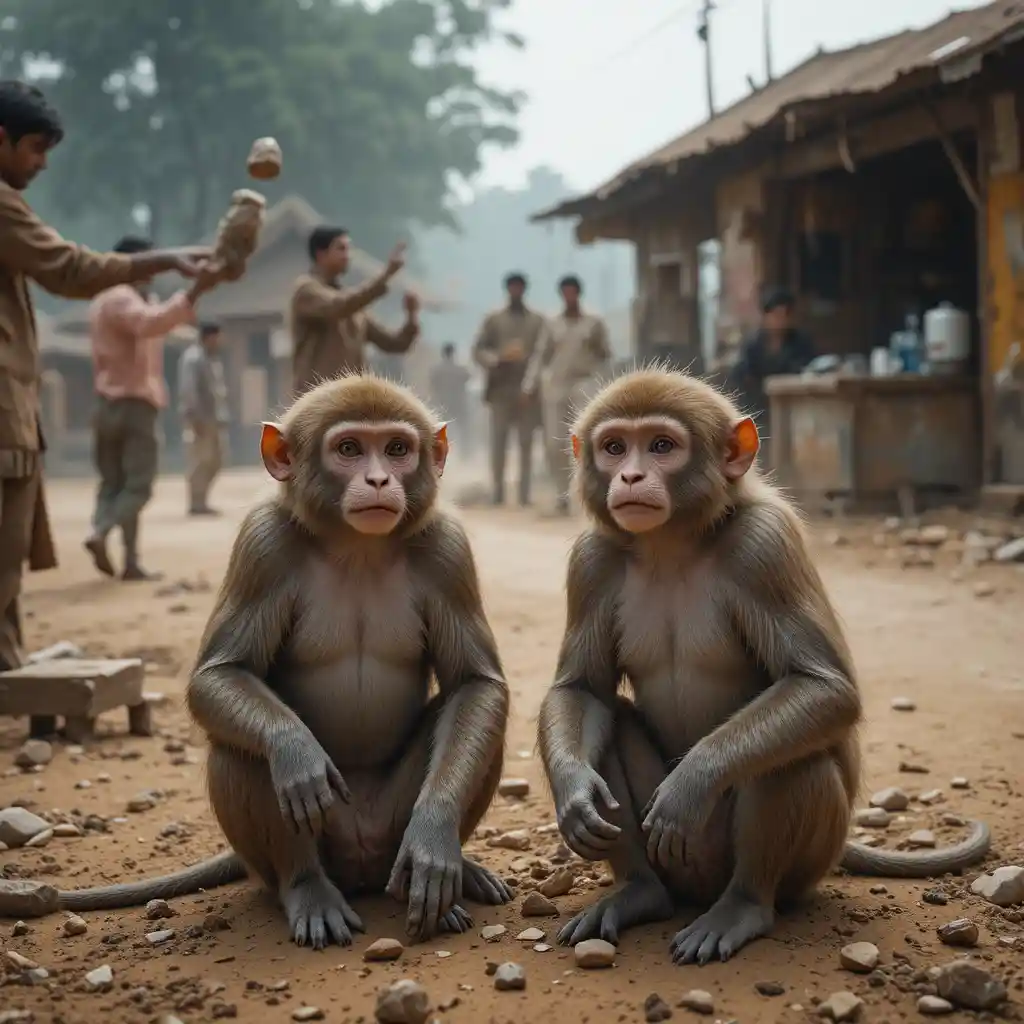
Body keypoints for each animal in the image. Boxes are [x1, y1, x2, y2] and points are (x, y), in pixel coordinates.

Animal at [16, 375, 513, 947]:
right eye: (349, 449)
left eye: (396, 448)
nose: (379, 478)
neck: (358, 547)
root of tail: (365, 864)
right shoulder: (263, 543)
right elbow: (222, 677)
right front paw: (295, 752)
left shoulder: (447, 548)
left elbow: (475, 684)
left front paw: (434, 835)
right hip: (318, 843)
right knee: (243, 749)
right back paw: (306, 887)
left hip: (390, 833)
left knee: (475, 723)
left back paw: (455, 874)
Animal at [537, 368, 991, 966]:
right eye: (614, 448)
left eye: (660, 446)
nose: (630, 475)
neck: (671, 545)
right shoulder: (591, 560)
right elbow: (584, 691)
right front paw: (575, 792)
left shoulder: (765, 546)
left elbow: (822, 688)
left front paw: (693, 781)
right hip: (681, 866)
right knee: (613, 721)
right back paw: (640, 893)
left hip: (799, 864)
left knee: (791, 753)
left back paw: (743, 907)